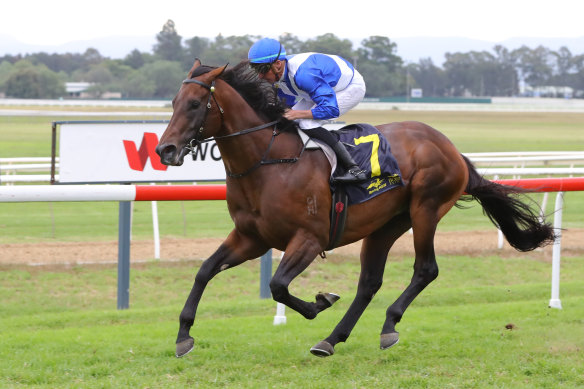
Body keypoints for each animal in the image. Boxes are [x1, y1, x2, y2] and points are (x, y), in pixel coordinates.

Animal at [156, 59, 556, 356]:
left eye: (195, 104)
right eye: (173, 103)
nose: (165, 150)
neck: (268, 163)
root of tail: (452, 149)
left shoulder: (310, 239)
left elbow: (278, 285)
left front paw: (320, 302)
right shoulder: (250, 238)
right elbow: (205, 271)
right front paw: (183, 335)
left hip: (426, 208)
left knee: (425, 269)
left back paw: (388, 325)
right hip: (386, 224)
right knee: (369, 282)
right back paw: (332, 340)